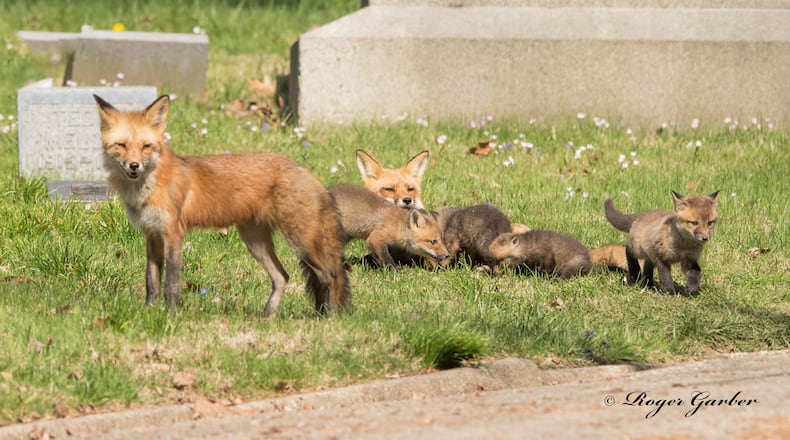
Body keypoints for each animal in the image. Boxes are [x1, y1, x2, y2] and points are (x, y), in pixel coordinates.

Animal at [94, 94, 350, 315]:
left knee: (330, 274)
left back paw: (329, 316)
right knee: (282, 276)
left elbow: (171, 282)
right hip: (256, 242)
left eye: (146, 146)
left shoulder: (173, 234)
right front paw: (149, 311)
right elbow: (152, 280)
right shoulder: (152, 235)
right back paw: (267, 315)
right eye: (121, 145)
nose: (134, 166)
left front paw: (171, 314)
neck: (149, 187)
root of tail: (301, 168)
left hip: (299, 242)